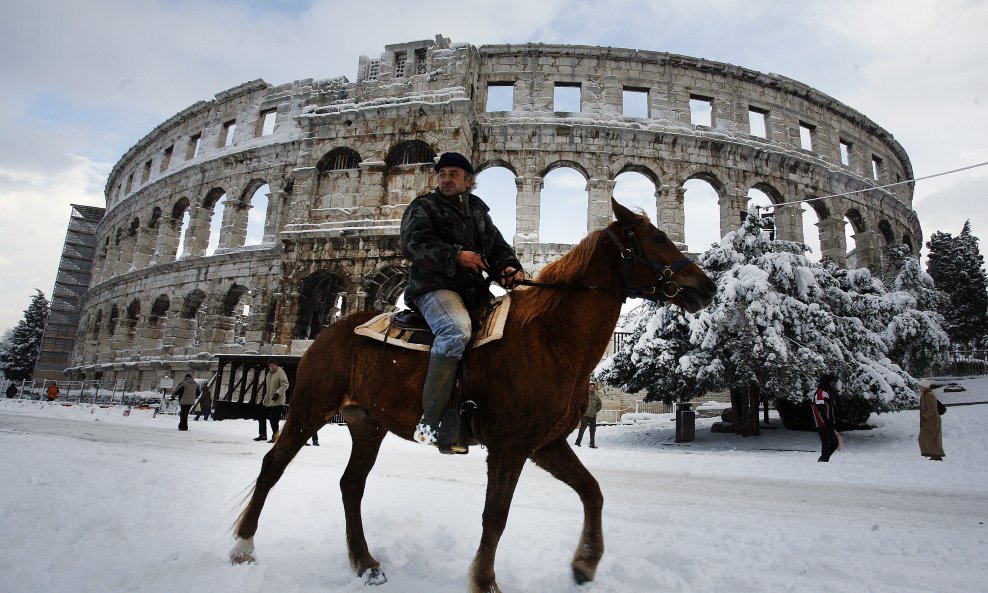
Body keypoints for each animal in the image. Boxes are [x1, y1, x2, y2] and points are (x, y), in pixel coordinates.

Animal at [229, 200, 712, 592]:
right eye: (657, 237)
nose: (705, 286)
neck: (549, 338)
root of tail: (326, 333)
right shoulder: (509, 447)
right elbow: (495, 517)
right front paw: (485, 582)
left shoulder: (546, 444)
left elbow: (592, 492)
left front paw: (584, 565)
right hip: (309, 409)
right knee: (273, 466)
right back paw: (243, 546)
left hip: (368, 424)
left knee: (352, 485)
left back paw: (365, 563)